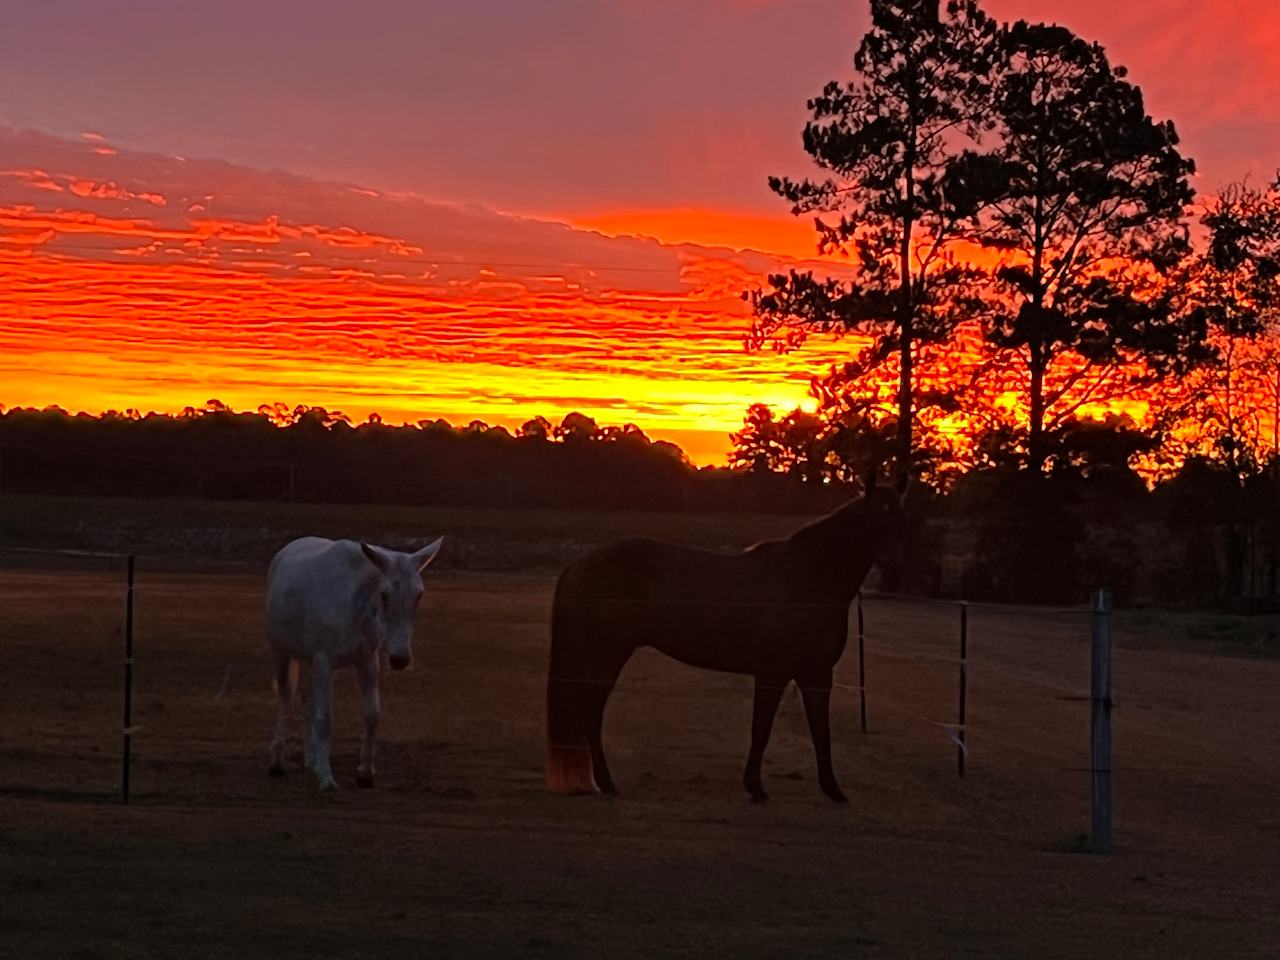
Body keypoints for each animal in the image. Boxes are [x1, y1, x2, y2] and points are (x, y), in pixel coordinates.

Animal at [264, 537, 445, 793]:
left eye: (419, 594)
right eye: (384, 594)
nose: (400, 659)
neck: (355, 604)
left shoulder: (365, 660)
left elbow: (372, 715)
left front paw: (365, 773)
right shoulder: (324, 661)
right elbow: (325, 720)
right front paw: (327, 778)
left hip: (310, 662)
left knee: (307, 700)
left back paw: (311, 761)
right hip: (281, 652)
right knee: (286, 697)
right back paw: (278, 762)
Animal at [545, 473, 906, 803]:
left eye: (902, 516)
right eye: (873, 518)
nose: (894, 567)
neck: (806, 579)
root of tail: (577, 565)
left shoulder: (816, 675)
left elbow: (820, 731)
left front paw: (833, 790)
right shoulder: (773, 673)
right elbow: (761, 729)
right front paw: (756, 787)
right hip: (606, 656)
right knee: (590, 712)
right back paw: (607, 783)